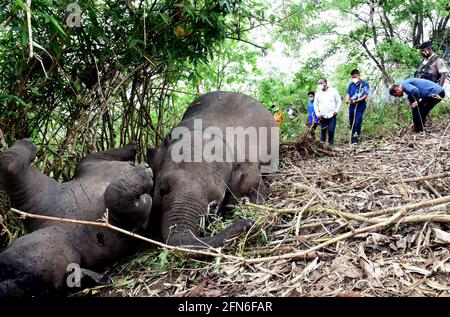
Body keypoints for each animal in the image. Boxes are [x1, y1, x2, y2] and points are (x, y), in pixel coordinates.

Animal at [0, 139, 153, 296]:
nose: (9, 283)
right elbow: (115, 196)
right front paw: (142, 175)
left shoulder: (41, 196)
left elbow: (9, 164)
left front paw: (132, 148)